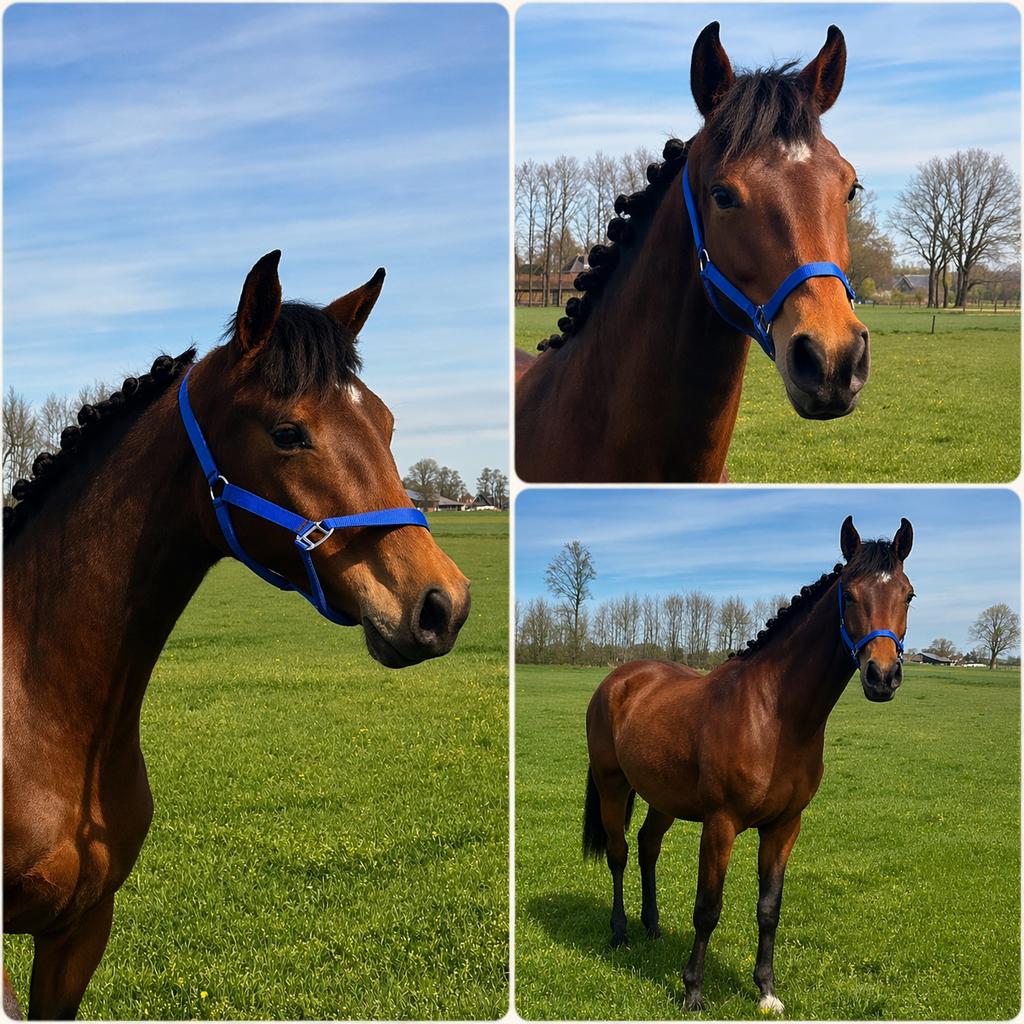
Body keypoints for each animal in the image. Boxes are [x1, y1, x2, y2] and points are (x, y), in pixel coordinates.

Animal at [583, 515, 914, 1013]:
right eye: (850, 594)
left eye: (908, 594)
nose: (882, 675)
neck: (774, 715)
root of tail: (617, 679)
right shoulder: (720, 825)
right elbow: (708, 908)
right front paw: (693, 991)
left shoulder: (784, 826)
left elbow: (769, 909)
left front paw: (766, 991)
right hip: (612, 785)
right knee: (619, 853)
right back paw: (620, 934)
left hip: (662, 797)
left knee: (647, 846)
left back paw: (652, 926)